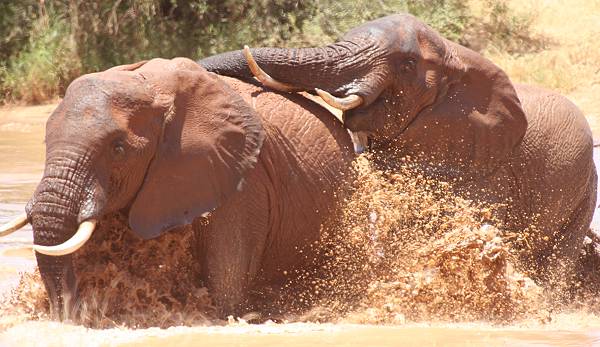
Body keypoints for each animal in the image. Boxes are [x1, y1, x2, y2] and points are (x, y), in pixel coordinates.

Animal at [1, 57, 356, 320]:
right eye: (46, 142)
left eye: (118, 149)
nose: (64, 316)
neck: (152, 88)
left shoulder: (240, 181)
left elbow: (226, 291)